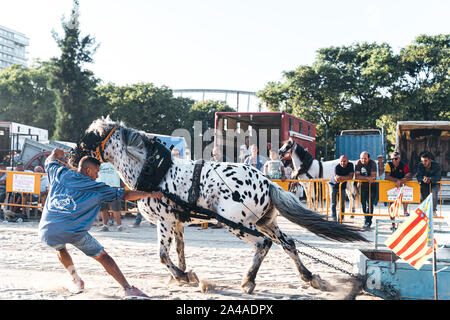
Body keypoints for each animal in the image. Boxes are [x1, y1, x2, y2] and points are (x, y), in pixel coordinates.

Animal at [69, 116, 366, 294]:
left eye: (88, 137)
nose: (71, 156)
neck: (154, 172)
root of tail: (266, 182)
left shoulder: (165, 222)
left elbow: (163, 255)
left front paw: (182, 276)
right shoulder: (177, 223)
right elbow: (180, 251)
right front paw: (185, 274)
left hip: (237, 224)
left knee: (263, 245)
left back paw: (248, 282)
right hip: (266, 222)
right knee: (289, 244)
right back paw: (310, 277)